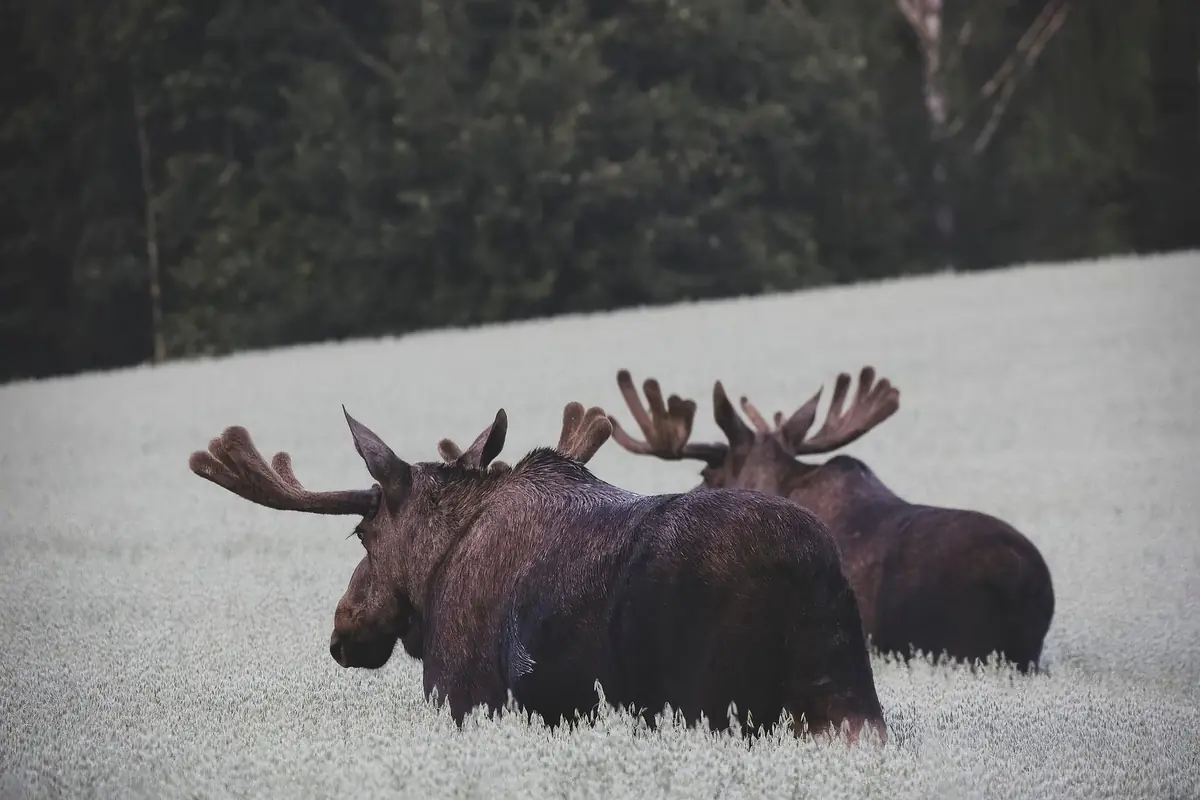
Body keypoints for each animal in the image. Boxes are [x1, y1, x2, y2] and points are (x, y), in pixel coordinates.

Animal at [188, 399, 888, 743]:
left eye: (362, 533)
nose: (344, 630)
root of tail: (809, 574)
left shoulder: (464, 695)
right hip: (848, 704)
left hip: (712, 704)